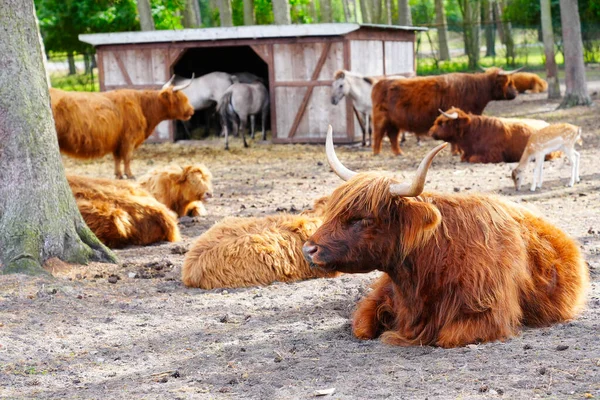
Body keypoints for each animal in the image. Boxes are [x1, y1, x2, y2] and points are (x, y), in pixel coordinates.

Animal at [50, 76, 195, 179]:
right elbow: (127, 157)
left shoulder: (118, 141)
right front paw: (130, 175)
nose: (192, 110)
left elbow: (117, 158)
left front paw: (118, 174)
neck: (142, 105)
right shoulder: (129, 139)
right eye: (181, 98)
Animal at [370, 68, 520, 155]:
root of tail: (380, 83)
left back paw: (398, 153)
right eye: (509, 82)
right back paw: (377, 153)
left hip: (393, 122)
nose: (516, 92)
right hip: (380, 119)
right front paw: (456, 152)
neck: (476, 89)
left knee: (392, 136)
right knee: (378, 134)